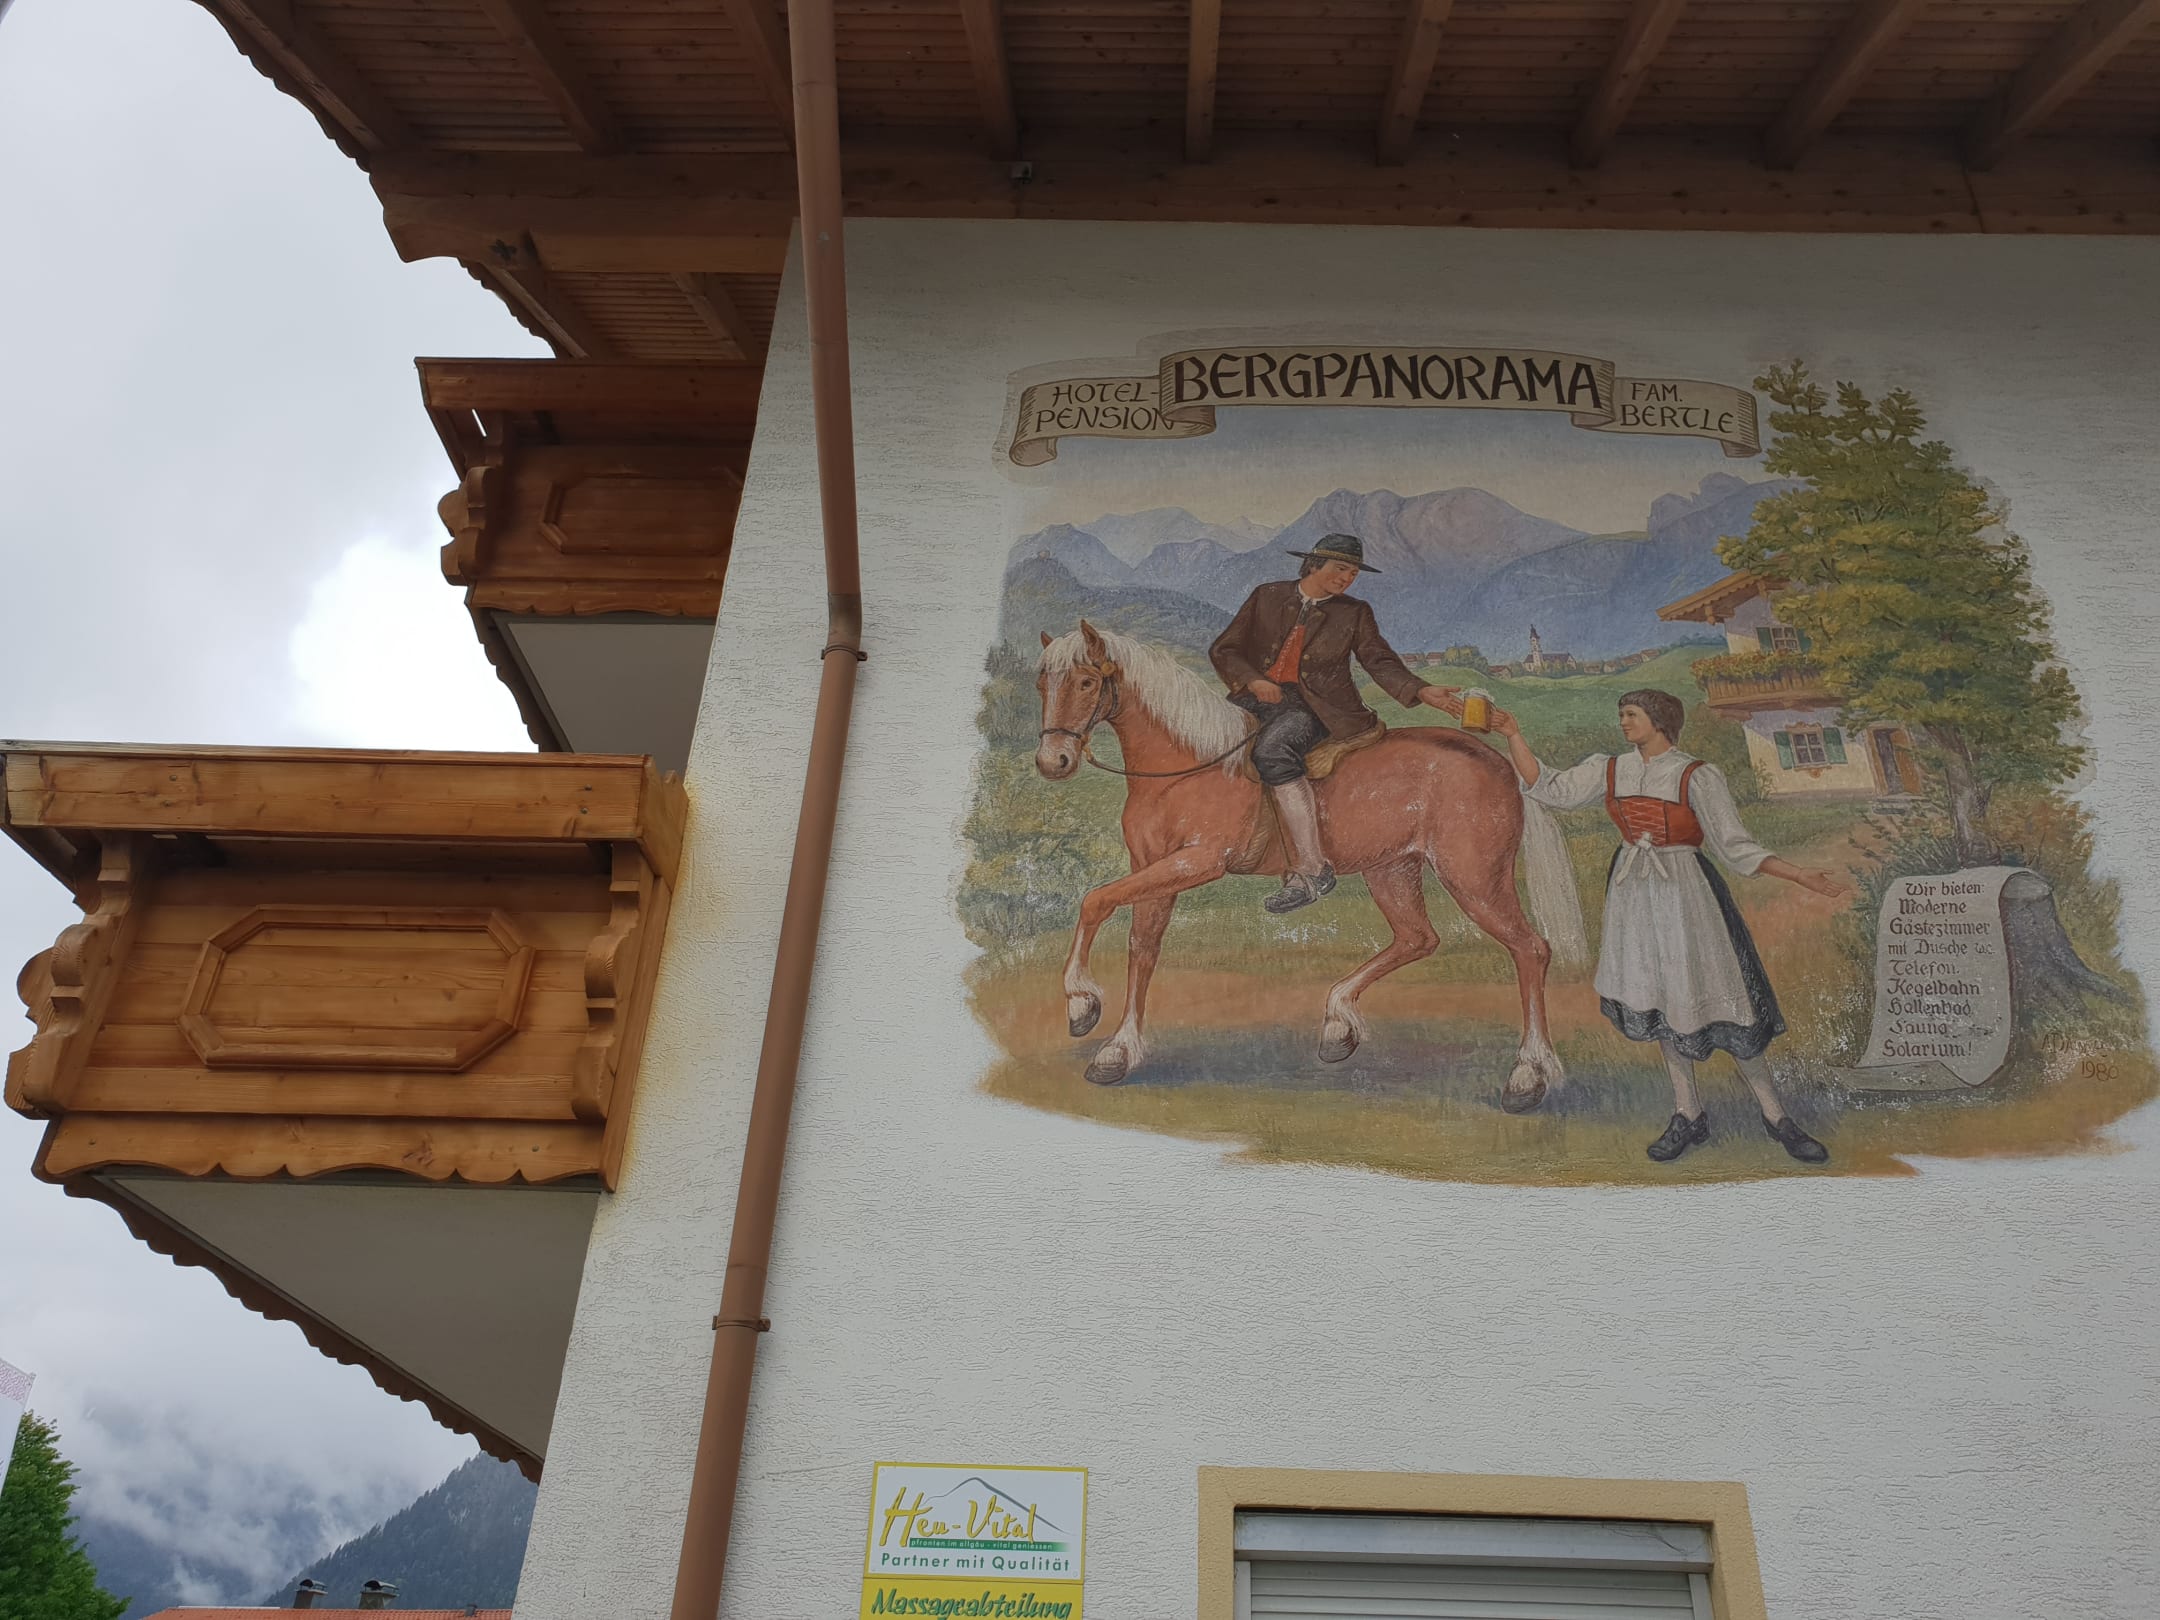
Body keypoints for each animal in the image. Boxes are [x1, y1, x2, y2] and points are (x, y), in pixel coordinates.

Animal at [1032, 619, 1586, 1110]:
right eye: (1042, 682)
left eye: (1086, 681)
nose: (1052, 762)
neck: (1186, 764)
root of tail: (1500, 762)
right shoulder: (1154, 867)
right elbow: (1141, 948)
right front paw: (1117, 1050)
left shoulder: (1197, 860)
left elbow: (1095, 900)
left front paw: (1081, 1001)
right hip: (1392, 871)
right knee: (1418, 938)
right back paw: (1338, 1022)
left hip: (1474, 880)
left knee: (1530, 950)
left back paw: (1528, 1076)